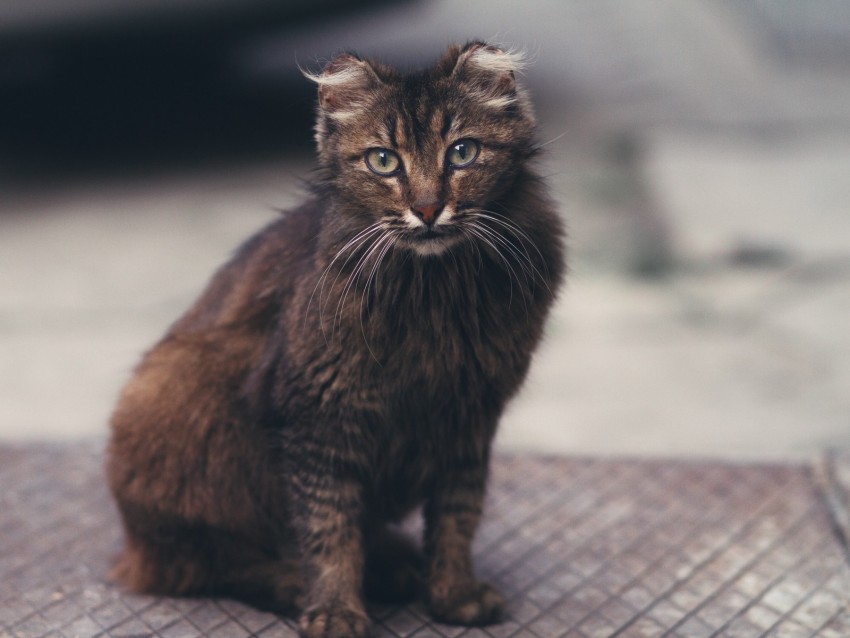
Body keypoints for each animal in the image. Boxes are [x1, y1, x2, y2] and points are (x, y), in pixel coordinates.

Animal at [109, 42, 568, 636]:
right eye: (383, 161)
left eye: (463, 153)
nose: (426, 209)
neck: (434, 291)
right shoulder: (318, 417)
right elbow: (329, 529)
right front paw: (334, 611)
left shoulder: (469, 416)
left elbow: (457, 516)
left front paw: (454, 594)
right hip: (173, 393)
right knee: (204, 560)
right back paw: (297, 582)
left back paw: (393, 568)